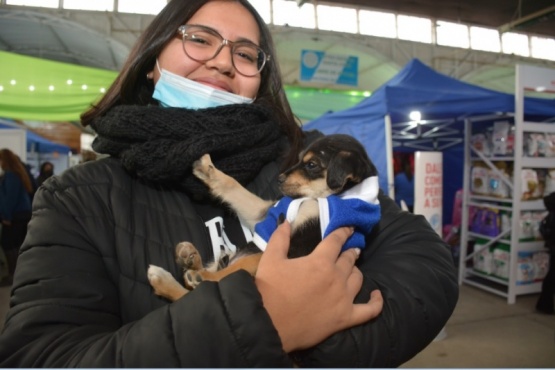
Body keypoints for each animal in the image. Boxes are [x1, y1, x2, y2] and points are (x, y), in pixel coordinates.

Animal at [148, 134, 382, 302]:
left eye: (312, 165)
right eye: (299, 159)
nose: (279, 178)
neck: (315, 198)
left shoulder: (289, 250)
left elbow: (239, 267)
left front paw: (206, 278)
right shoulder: (263, 213)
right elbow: (234, 187)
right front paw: (208, 170)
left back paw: (190, 274)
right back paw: (188, 259)